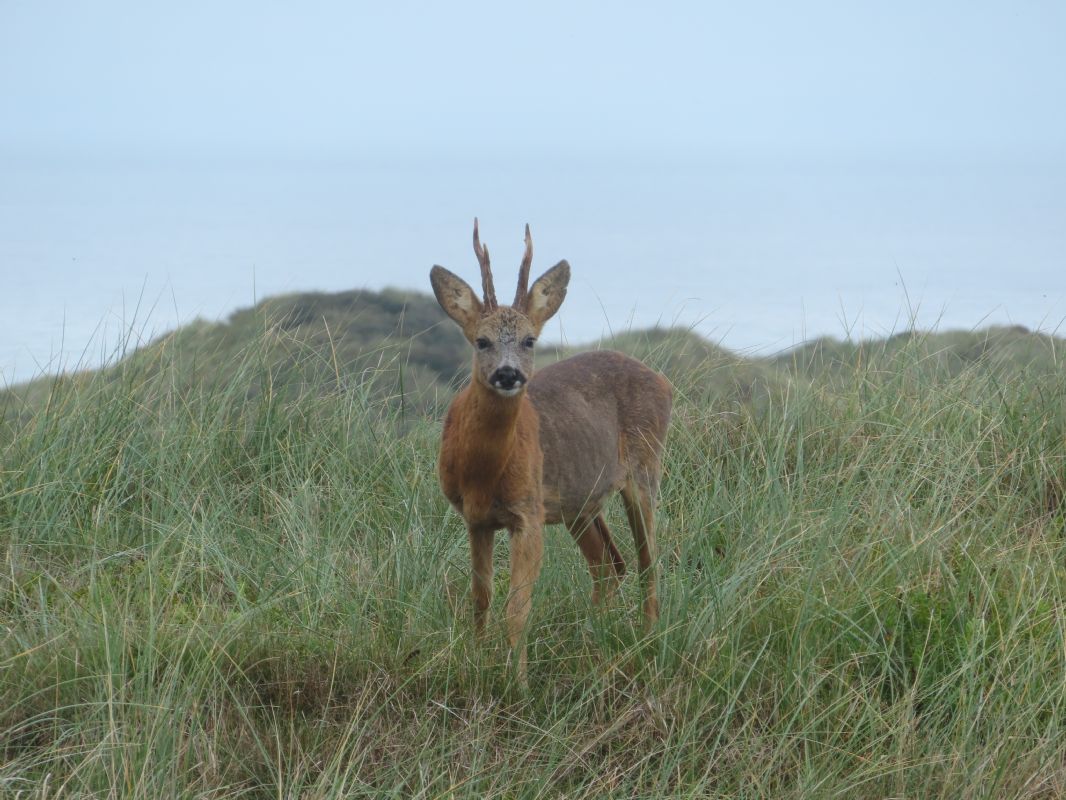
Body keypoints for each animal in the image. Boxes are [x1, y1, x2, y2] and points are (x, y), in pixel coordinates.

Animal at [428, 220, 669, 682]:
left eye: (529, 340)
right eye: (481, 341)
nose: (508, 374)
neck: (483, 473)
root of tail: (664, 381)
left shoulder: (528, 511)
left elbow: (517, 608)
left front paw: (517, 683)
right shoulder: (475, 519)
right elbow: (481, 598)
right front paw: (476, 660)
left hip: (646, 468)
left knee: (649, 561)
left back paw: (646, 643)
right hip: (580, 501)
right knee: (609, 564)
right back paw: (589, 641)